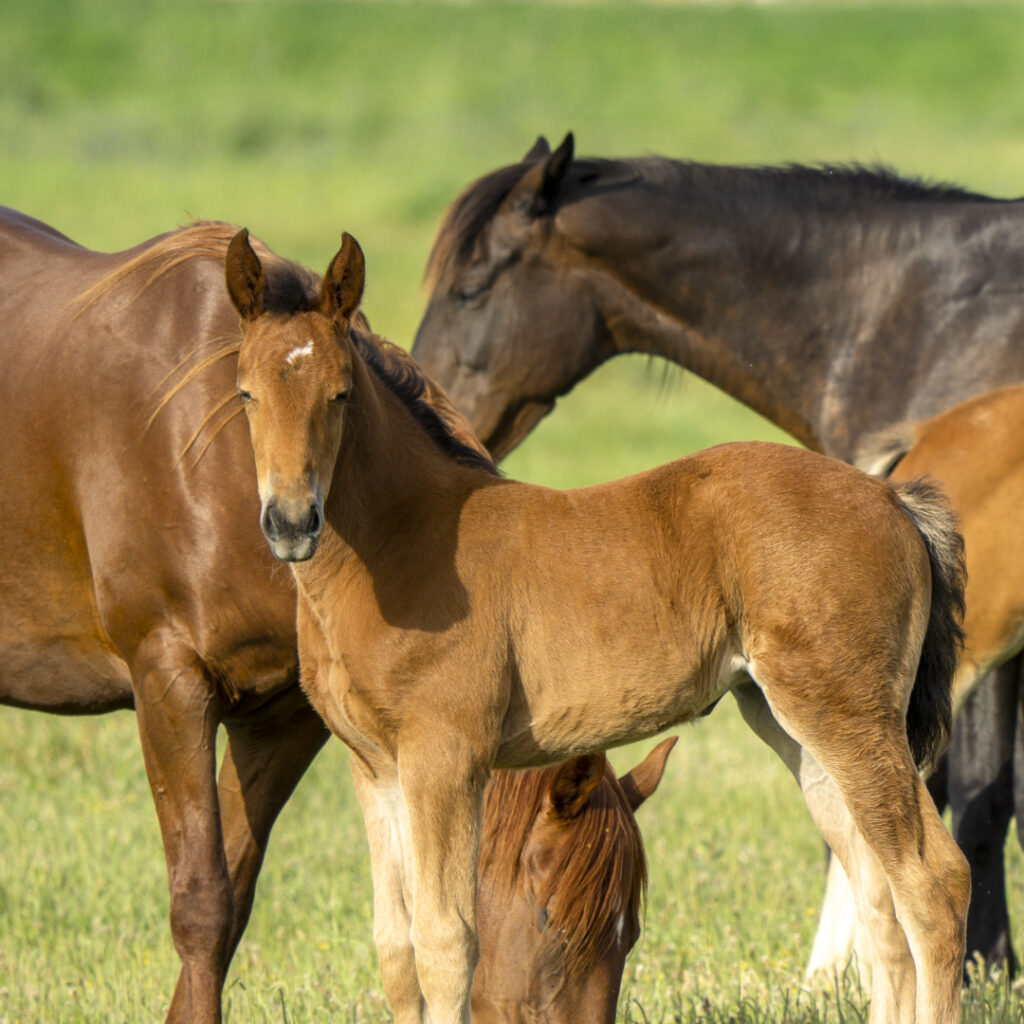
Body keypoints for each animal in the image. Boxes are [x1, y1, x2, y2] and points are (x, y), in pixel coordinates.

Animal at [0, 209, 675, 1024]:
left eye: (630, 933)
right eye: (553, 923)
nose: (293, 524)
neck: (203, 454)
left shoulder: (286, 716)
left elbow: (234, 900)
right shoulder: (169, 686)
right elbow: (200, 907)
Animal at [228, 228, 970, 1024]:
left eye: (338, 394)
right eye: (245, 394)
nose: (291, 522)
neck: (405, 541)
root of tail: (893, 499)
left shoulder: (446, 758)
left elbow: (445, 942)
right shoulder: (374, 768)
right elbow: (396, 950)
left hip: (851, 719)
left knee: (932, 884)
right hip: (796, 726)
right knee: (876, 895)